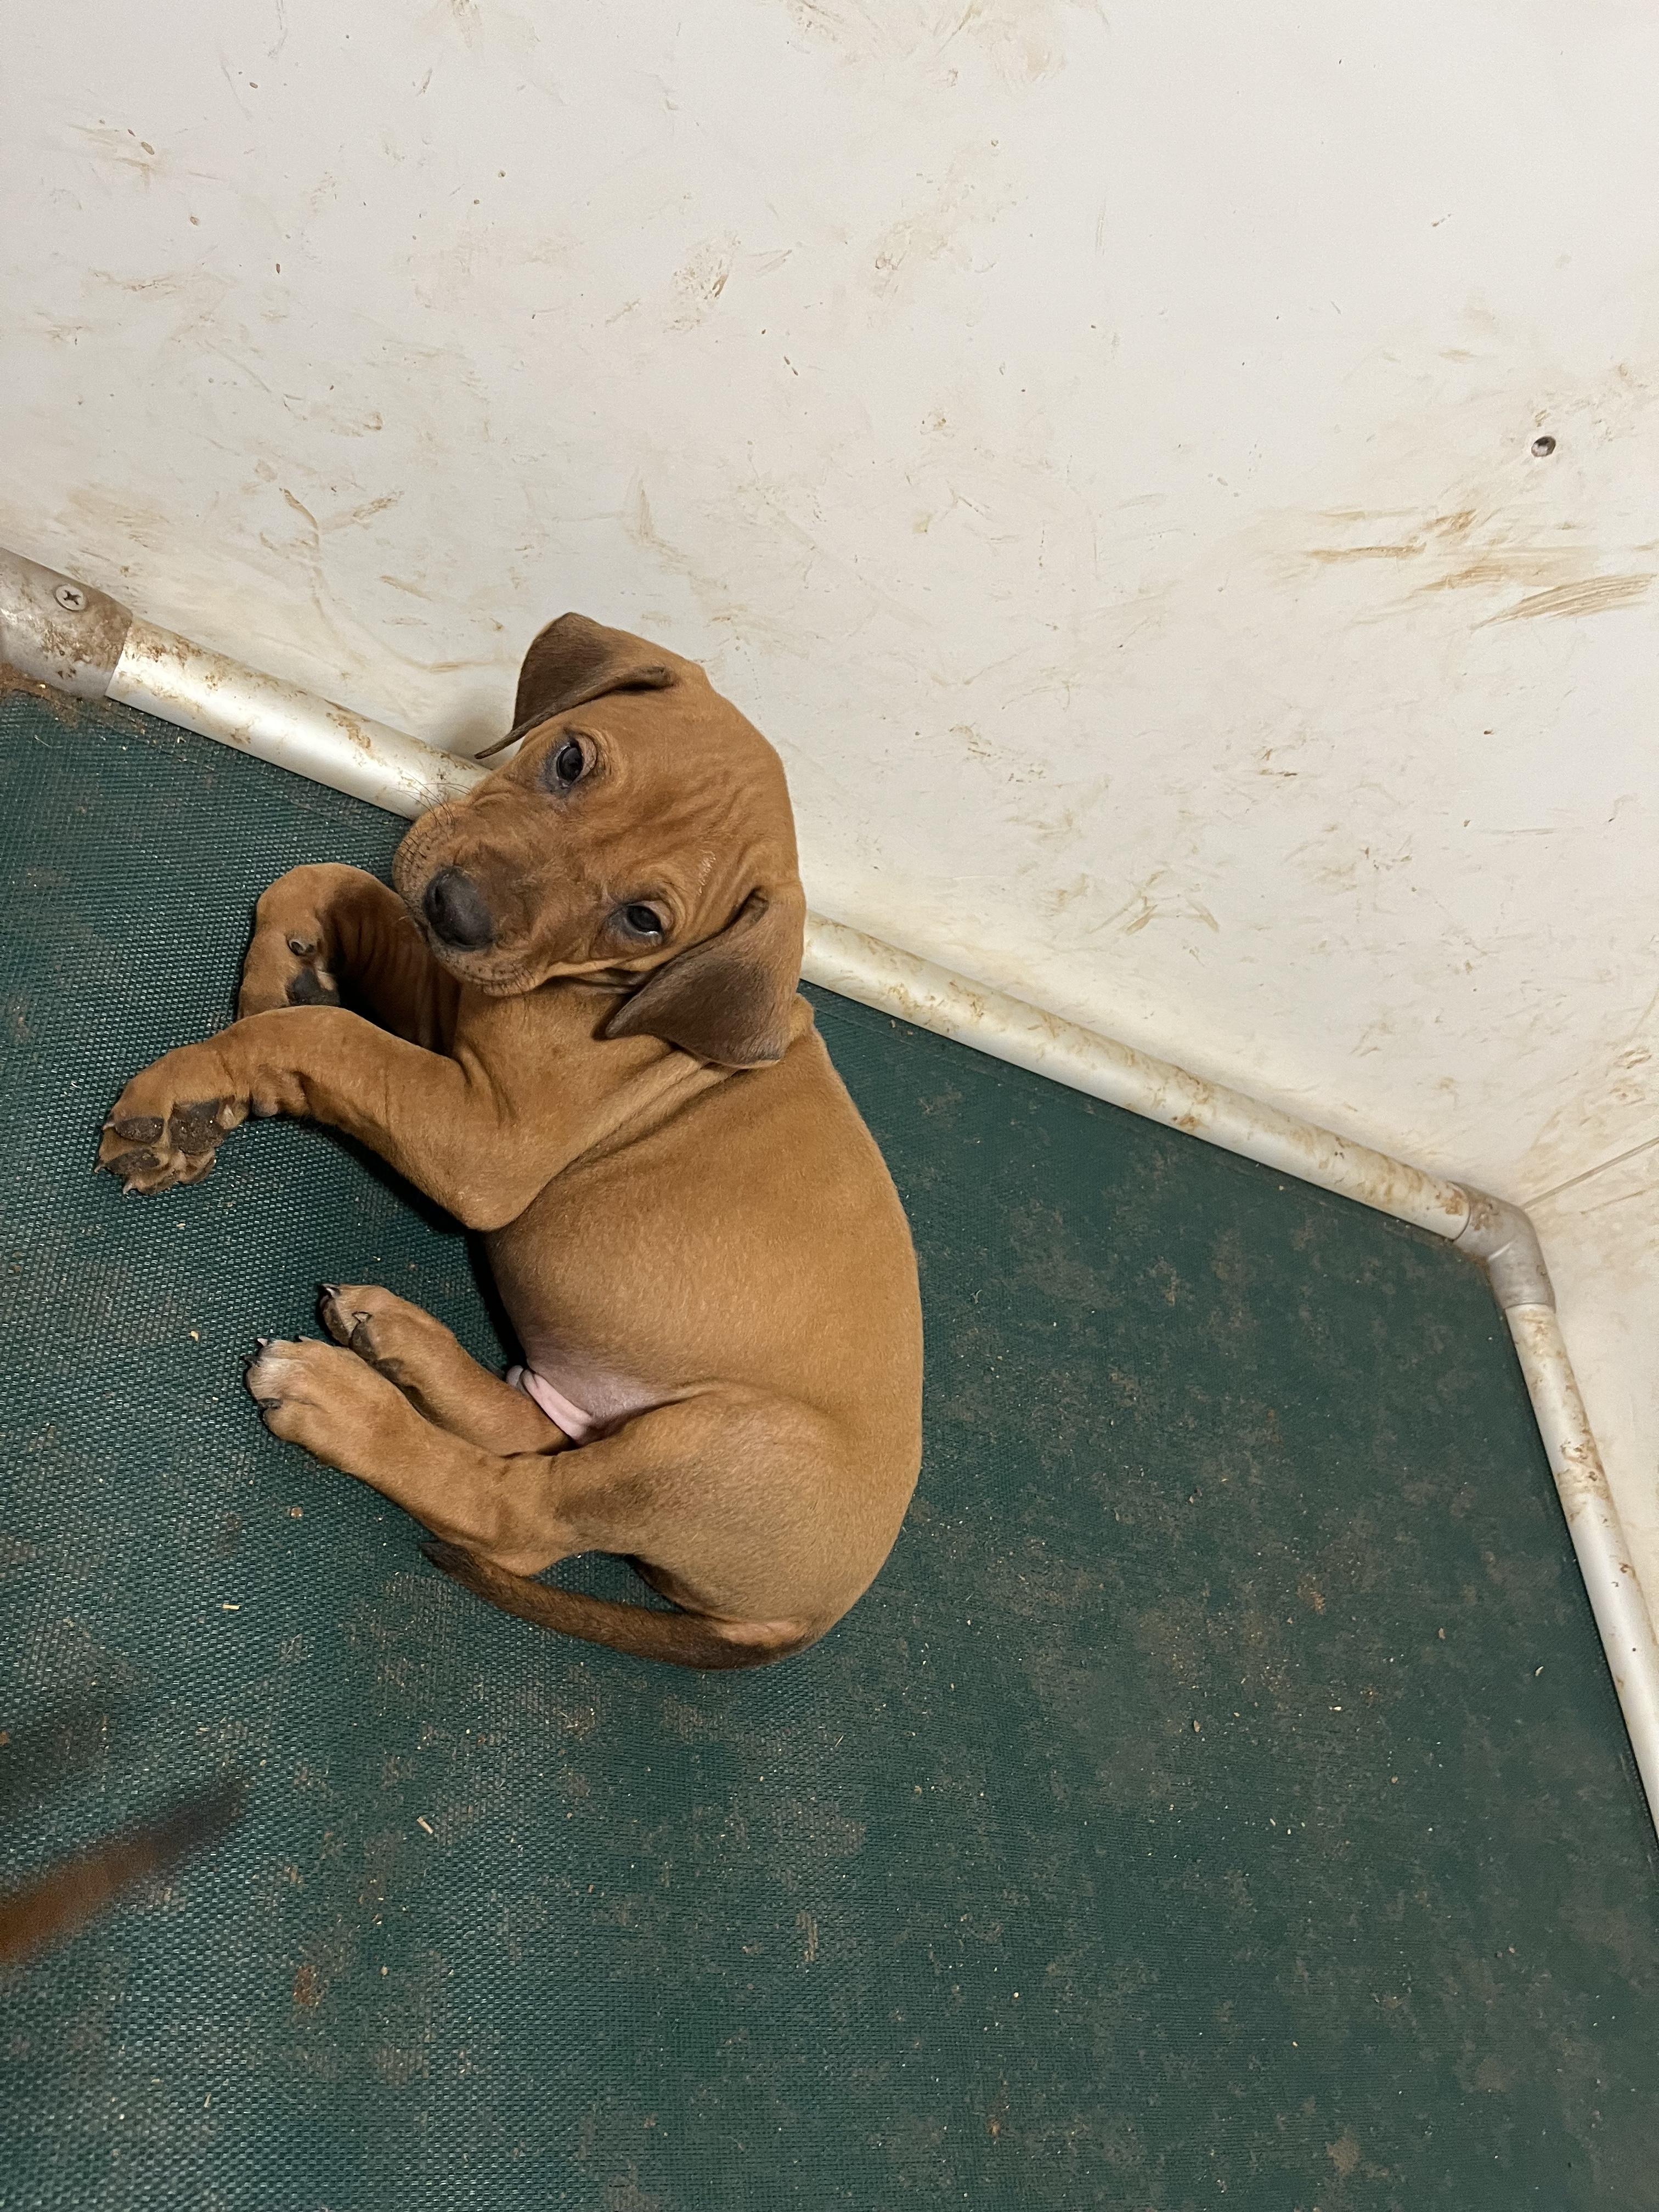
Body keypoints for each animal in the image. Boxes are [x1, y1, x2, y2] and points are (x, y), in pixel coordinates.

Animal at [98, 616, 924, 1669]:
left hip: (716, 1443)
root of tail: (809, 1617)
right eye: (569, 760)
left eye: (643, 920)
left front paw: (191, 1093)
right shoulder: (451, 1020)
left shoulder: (482, 1143)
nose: (459, 912)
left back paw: (341, 1402)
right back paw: (397, 1339)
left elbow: (326, 1036)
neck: (624, 996)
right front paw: (279, 982)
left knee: (515, 1515)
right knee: (528, 1432)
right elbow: (332, 887)